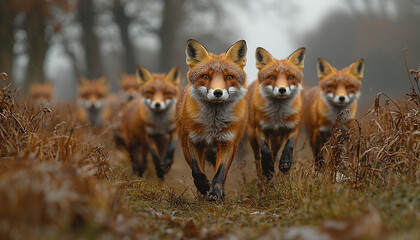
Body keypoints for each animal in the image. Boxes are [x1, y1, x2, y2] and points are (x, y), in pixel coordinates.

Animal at [176, 39, 248, 201]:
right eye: (205, 76)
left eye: (229, 77)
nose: (218, 92)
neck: (212, 124)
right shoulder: (192, 140)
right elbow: (196, 170)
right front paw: (203, 187)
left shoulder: (227, 142)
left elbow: (220, 173)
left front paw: (215, 193)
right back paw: (200, 195)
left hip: (234, 148)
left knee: (224, 174)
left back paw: (221, 194)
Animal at [249, 47, 306, 180]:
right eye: (271, 77)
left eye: (290, 76)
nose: (282, 90)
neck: (277, 117)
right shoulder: (260, 129)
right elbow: (265, 149)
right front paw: (267, 168)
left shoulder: (293, 128)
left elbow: (289, 145)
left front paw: (285, 163)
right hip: (252, 137)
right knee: (258, 160)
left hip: (278, 139)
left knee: (274, 153)